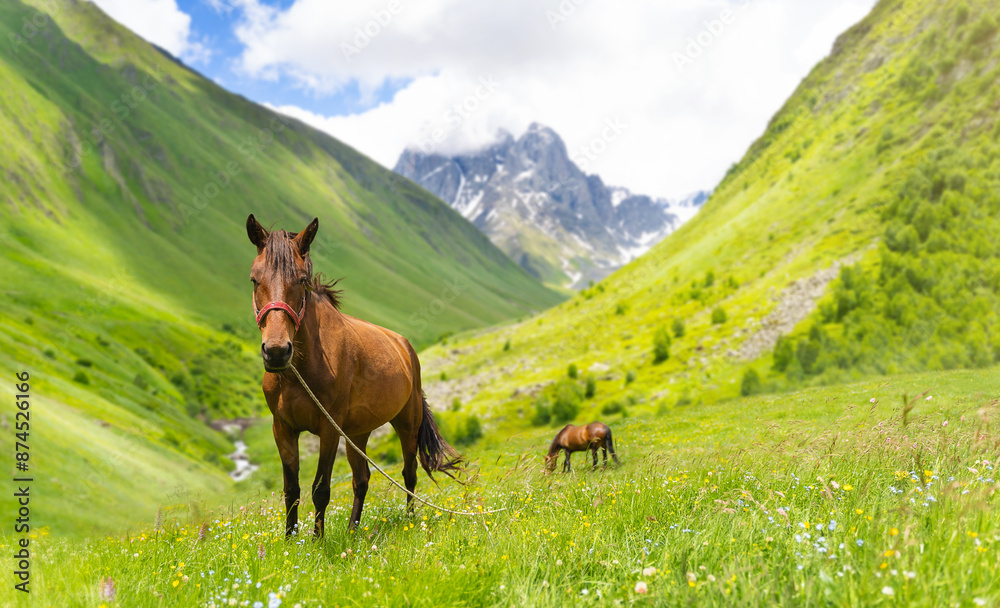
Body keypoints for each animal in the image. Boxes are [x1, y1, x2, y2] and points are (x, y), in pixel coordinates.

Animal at [245, 214, 463, 538]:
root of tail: (405, 346)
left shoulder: (329, 429)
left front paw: (317, 542)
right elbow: (291, 489)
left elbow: (320, 490)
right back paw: (352, 530)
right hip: (357, 433)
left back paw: (409, 520)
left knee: (409, 473)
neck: (300, 372)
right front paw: (290, 541)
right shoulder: (283, 429)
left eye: (301, 280)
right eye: (254, 279)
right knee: (362, 480)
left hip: (406, 424)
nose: (276, 352)